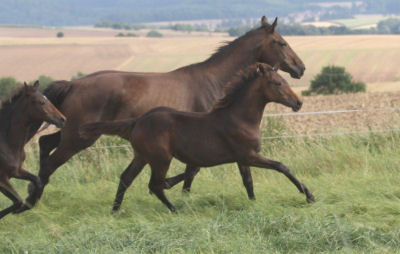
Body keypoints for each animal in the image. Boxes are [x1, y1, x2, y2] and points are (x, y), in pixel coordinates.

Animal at [0, 82, 65, 220]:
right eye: (41, 102)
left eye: (47, 99)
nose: (62, 119)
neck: (6, 142)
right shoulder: (2, 178)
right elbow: (18, 200)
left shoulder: (16, 171)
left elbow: (37, 181)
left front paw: (29, 203)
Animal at [79, 63, 314, 212]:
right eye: (277, 83)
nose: (298, 103)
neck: (240, 118)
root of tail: (137, 121)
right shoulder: (249, 155)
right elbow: (282, 166)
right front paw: (307, 194)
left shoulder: (242, 159)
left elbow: (248, 182)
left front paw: (254, 203)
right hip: (161, 159)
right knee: (154, 185)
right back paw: (175, 209)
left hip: (142, 156)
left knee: (126, 178)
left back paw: (115, 211)